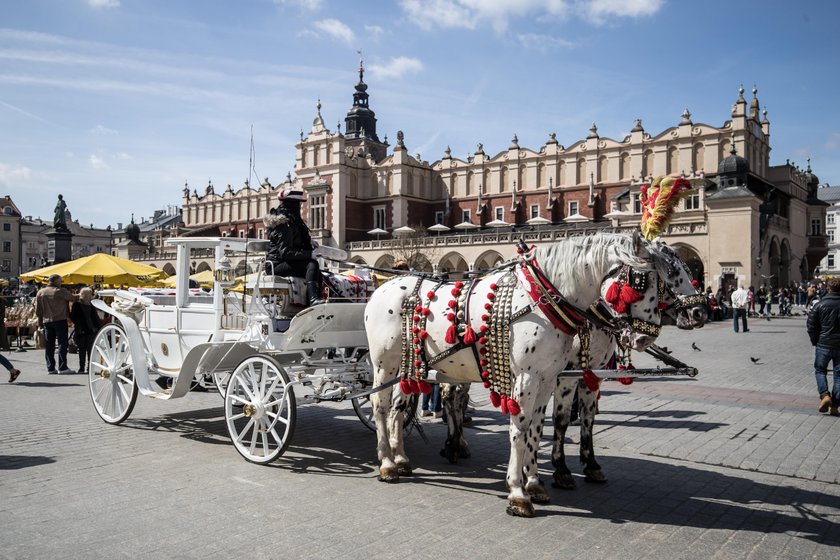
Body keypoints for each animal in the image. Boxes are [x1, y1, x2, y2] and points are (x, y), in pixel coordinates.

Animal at [366, 231, 676, 516]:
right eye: (641, 281)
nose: (645, 338)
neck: (541, 299)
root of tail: (382, 288)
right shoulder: (528, 378)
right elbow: (519, 429)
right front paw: (517, 492)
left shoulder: (548, 379)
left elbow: (537, 429)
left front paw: (535, 483)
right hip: (383, 363)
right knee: (379, 405)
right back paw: (387, 463)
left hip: (408, 366)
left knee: (398, 408)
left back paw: (401, 458)